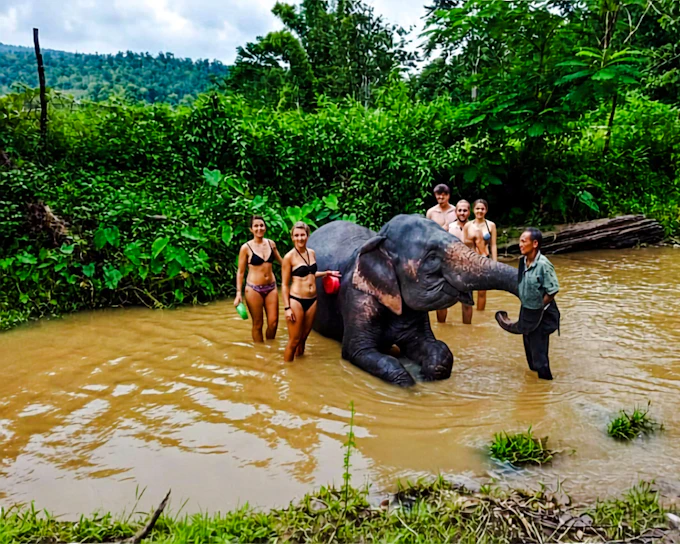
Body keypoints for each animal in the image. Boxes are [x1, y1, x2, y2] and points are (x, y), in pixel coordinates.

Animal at [308, 214, 520, 386]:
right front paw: (410, 381)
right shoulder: (357, 297)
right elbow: (357, 350)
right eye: (432, 257)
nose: (503, 313)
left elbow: (430, 345)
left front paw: (427, 373)